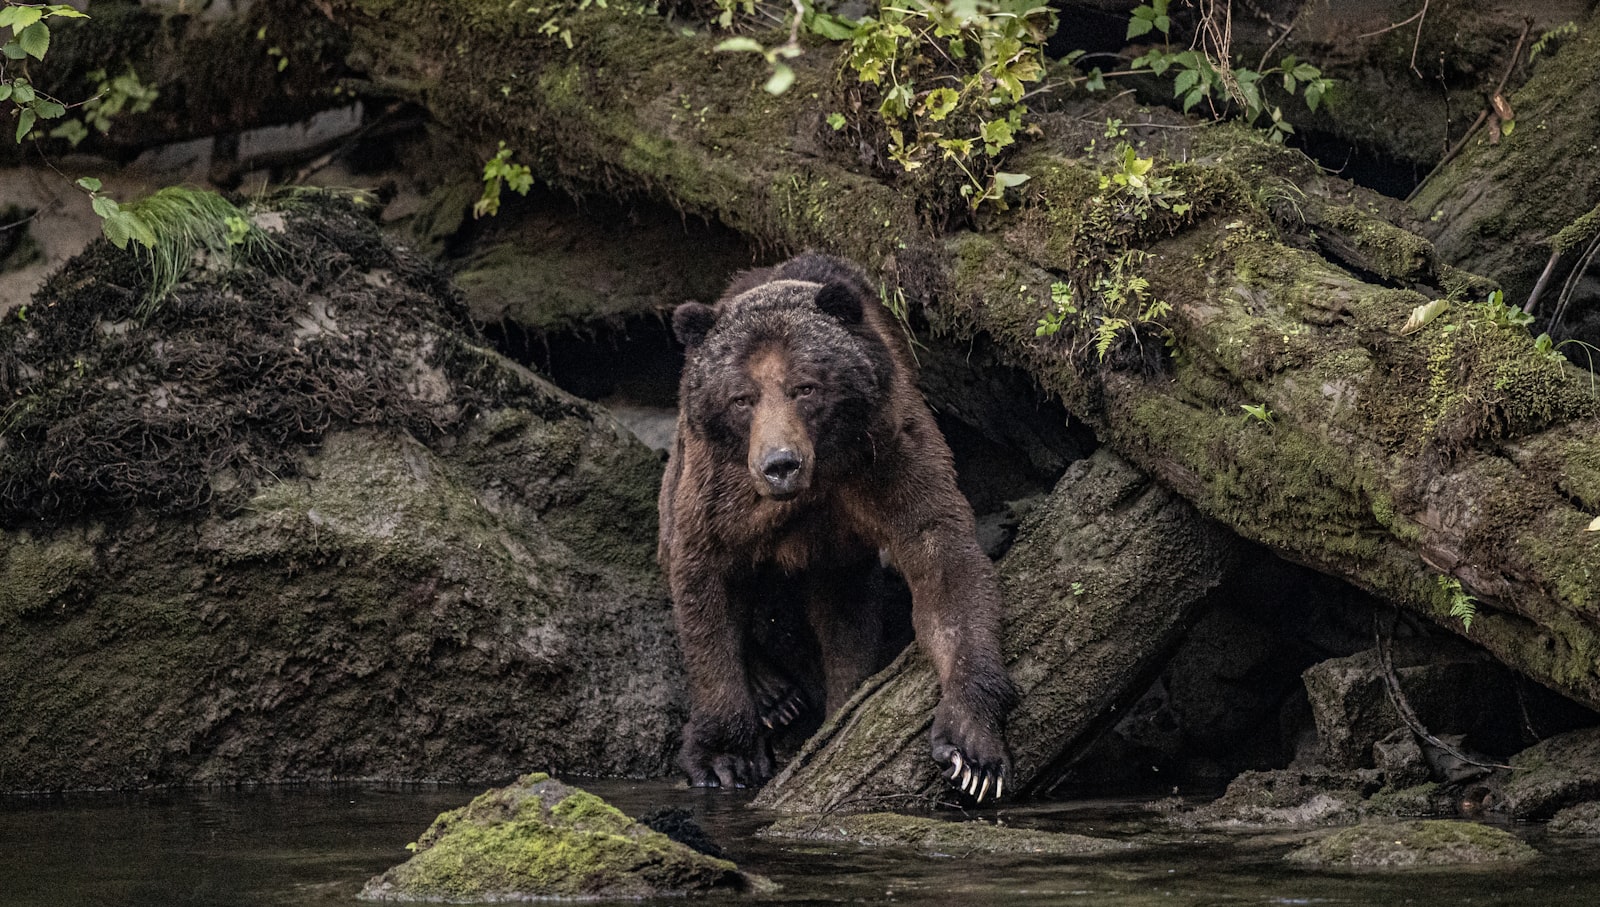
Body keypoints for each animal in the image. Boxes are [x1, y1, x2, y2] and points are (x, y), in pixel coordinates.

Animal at [659, 252, 1011, 799]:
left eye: (805, 387)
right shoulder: (718, 489)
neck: (815, 482)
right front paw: (725, 758)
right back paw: (774, 694)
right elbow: (704, 583)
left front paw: (971, 750)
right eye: (742, 398)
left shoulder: (886, 455)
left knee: (845, 614)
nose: (780, 464)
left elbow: (944, 562)